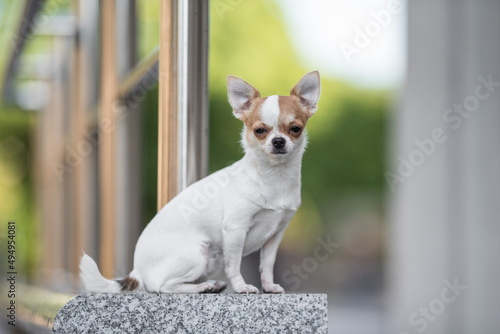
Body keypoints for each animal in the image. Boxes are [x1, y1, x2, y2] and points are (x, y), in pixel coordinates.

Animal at [79, 70, 320, 292]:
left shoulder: (275, 235)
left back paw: (211, 284)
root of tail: (136, 271)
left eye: (295, 129)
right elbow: (234, 265)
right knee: (165, 287)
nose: (278, 141)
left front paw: (269, 286)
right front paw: (241, 287)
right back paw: (201, 287)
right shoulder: (235, 229)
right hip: (198, 254)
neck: (274, 176)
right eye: (259, 130)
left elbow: (267, 265)